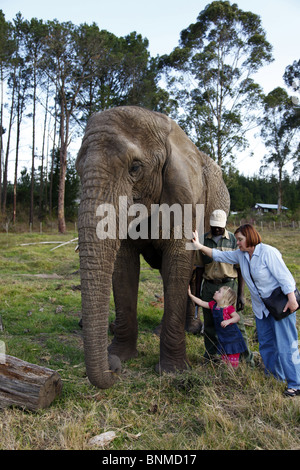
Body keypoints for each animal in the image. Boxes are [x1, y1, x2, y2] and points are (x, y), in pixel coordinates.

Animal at [75, 106, 230, 390]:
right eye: (77, 169)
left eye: (135, 168)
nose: (114, 368)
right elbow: (123, 267)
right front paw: (121, 354)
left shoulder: (185, 198)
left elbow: (178, 261)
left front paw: (172, 371)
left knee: (191, 273)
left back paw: (191, 330)